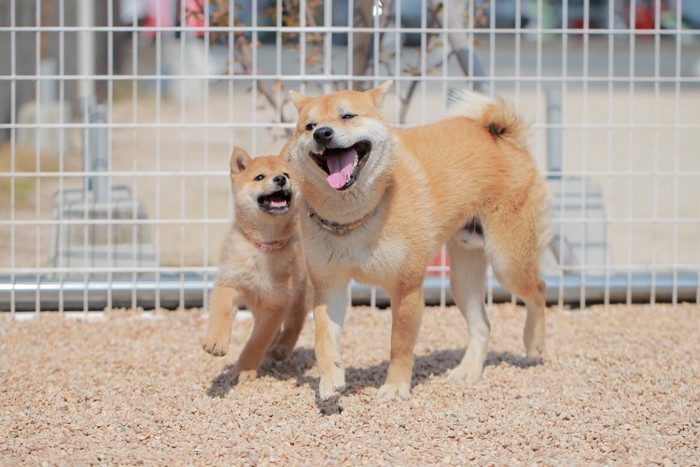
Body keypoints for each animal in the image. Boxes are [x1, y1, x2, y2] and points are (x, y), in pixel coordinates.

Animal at [204, 148, 310, 382]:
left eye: (286, 174)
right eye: (259, 177)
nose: (280, 179)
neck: (263, 248)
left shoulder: (275, 305)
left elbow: (257, 342)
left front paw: (245, 369)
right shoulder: (229, 284)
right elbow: (221, 314)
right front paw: (216, 340)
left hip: (301, 292)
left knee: (295, 322)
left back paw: (281, 348)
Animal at [288, 81, 548, 402]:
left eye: (347, 116)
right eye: (309, 126)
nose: (322, 133)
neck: (353, 220)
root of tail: (504, 137)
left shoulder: (407, 287)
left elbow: (399, 346)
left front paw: (396, 387)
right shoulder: (329, 287)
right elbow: (323, 340)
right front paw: (330, 380)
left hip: (507, 263)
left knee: (539, 290)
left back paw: (533, 343)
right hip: (462, 279)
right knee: (483, 326)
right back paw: (468, 372)